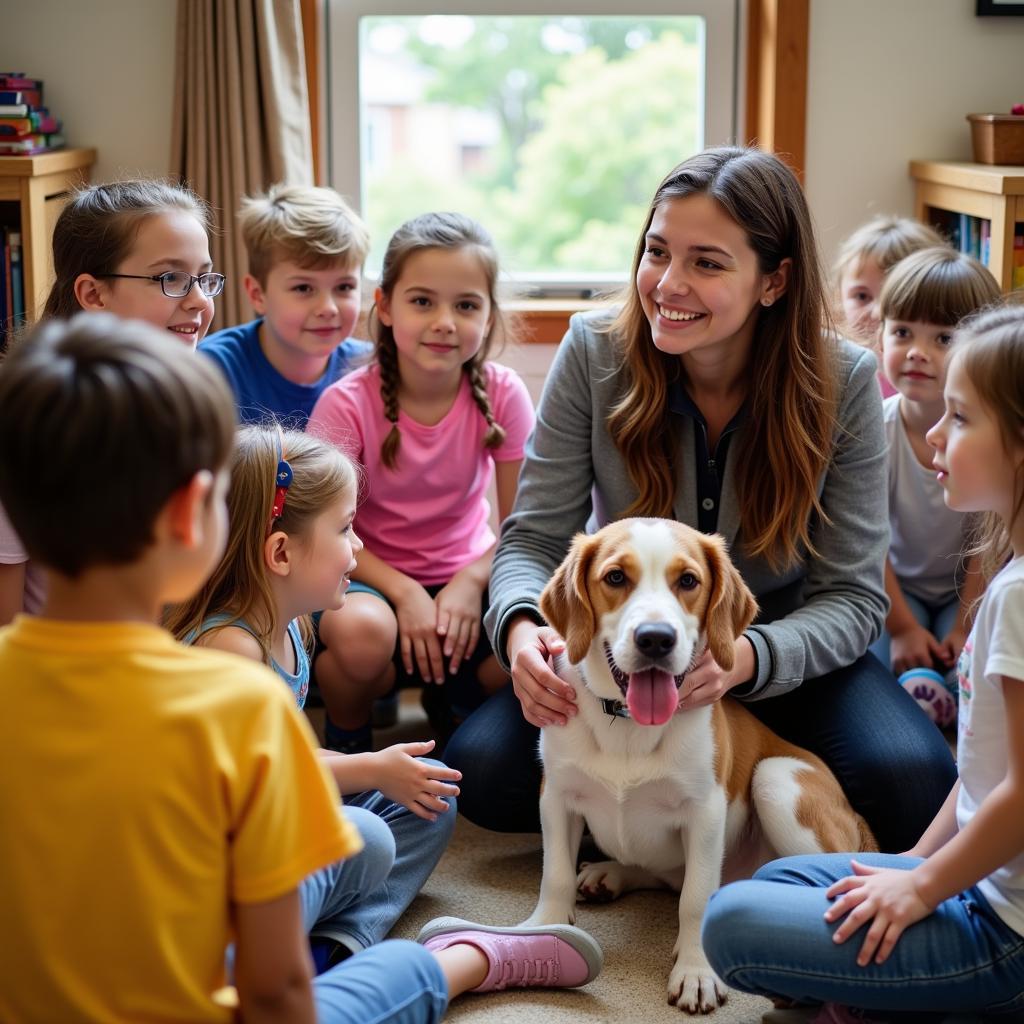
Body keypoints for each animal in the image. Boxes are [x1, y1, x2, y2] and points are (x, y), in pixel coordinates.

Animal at [524, 520, 876, 1015]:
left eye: (688, 581)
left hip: (776, 779)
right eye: (616, 577)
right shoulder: (556, 796)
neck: (628, 725)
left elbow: (695, 896)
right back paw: (609, 873)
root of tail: (854, 815)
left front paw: (696, 970)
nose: (655, 638)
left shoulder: (706, 811)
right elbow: (553, 873)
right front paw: (546, 929)